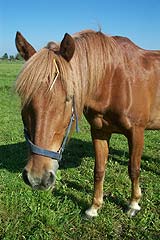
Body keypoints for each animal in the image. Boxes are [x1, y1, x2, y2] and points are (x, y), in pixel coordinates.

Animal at [15, 29, 160, 218]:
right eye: (24, 98)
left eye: (69, 98)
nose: (37, 178)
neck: (114, 81)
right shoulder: (99, 132)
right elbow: (99, 170)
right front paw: (94, 207)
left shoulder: (136, 132)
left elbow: (134, 169)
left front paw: (133, 203)